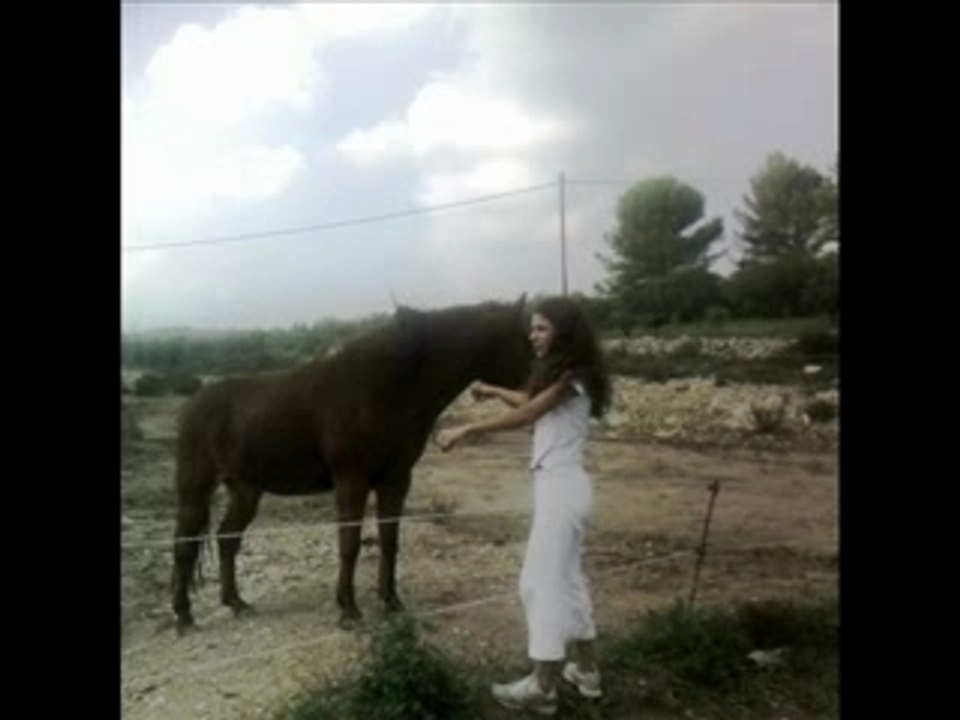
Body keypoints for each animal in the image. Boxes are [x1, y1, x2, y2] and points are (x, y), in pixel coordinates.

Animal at [171, 296, 531, 631]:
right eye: (524, 341)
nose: (535, 391)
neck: (386, 387)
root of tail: (192, 404)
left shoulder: (396, 480)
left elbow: (389, 540)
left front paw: (391, 601)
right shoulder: (351, 480)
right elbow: (349, 544)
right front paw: (348, 609)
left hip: (246, 489)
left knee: (227, 538)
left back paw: (236, 602)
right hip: (196, 487)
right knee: (184, 544)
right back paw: (184, 614)